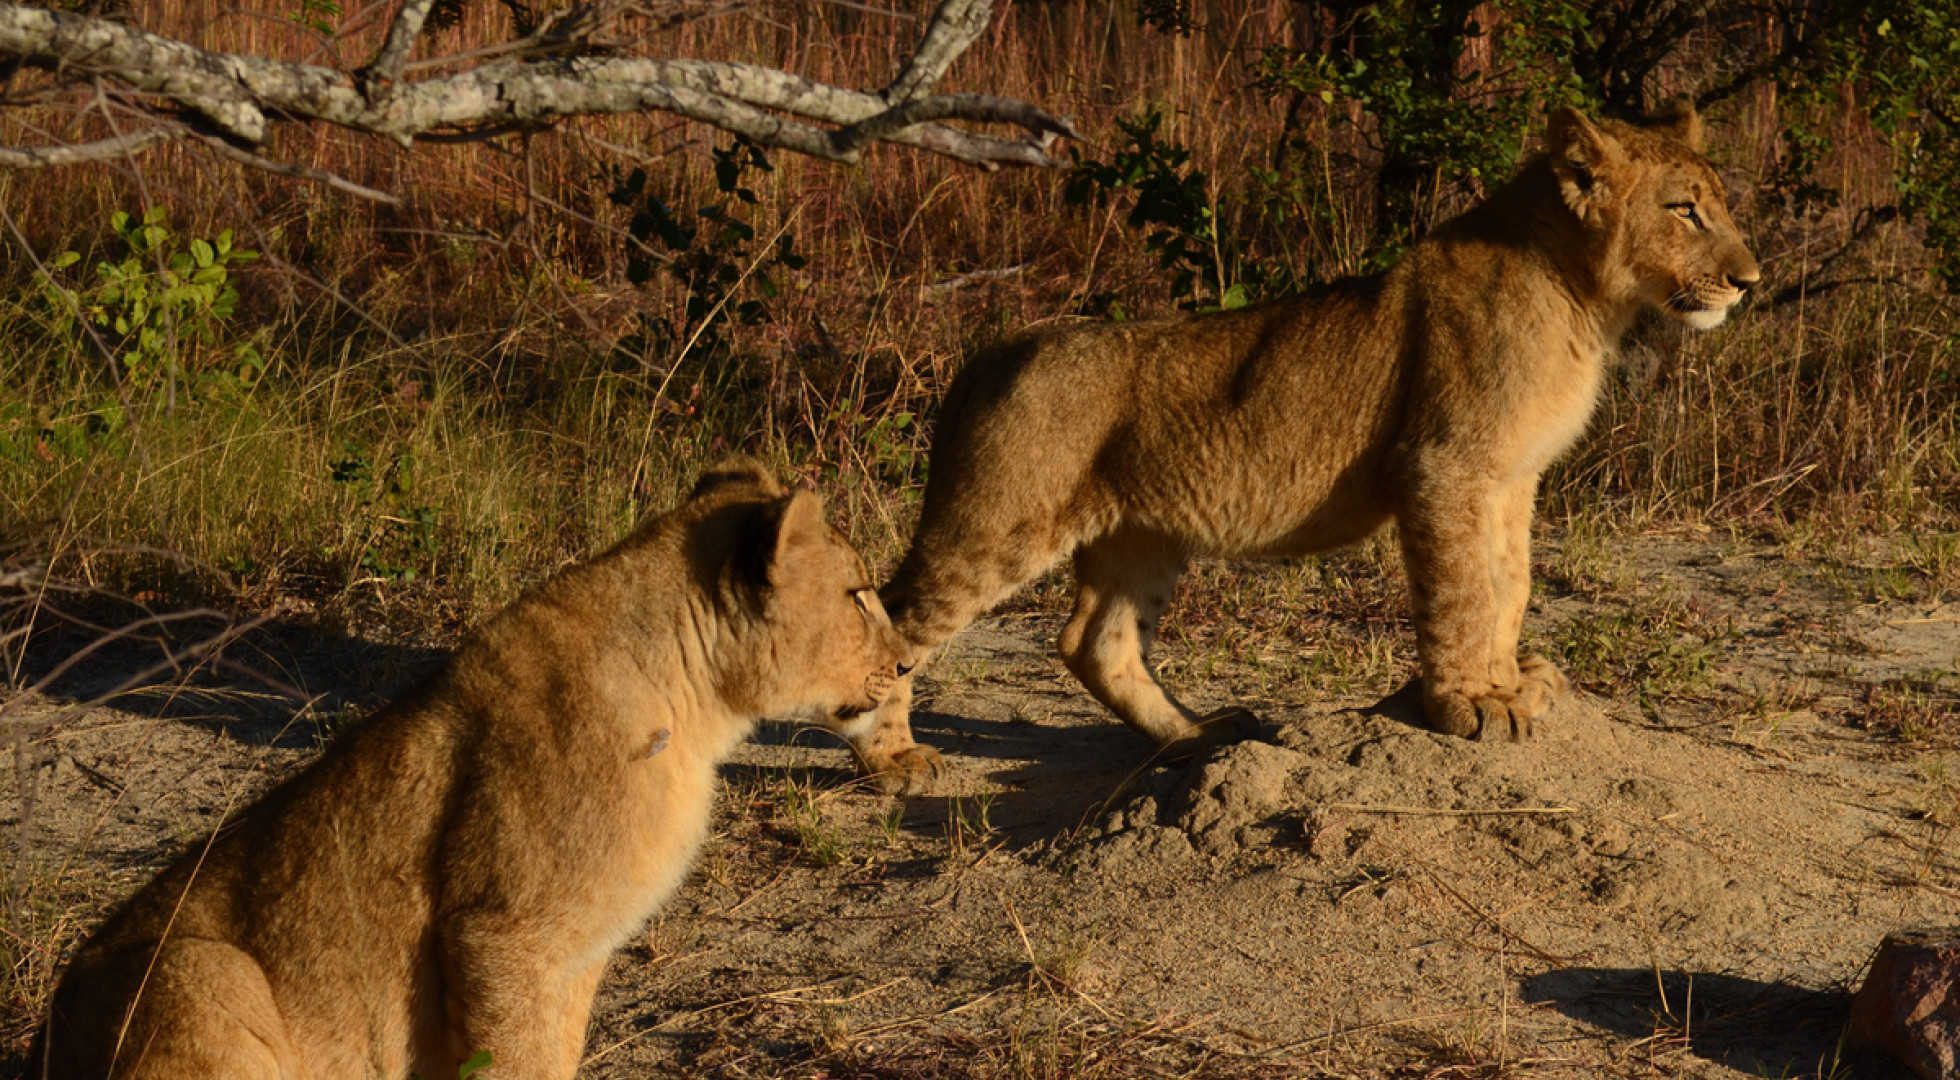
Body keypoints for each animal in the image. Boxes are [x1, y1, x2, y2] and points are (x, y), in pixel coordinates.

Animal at [32, 457, 907, 1080]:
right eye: (860, 594)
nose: (905, 664)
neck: (696, 704)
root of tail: (46, 1036)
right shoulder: (502, 932)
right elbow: (517, 1060)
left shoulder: (575, 954)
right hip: (200, 967)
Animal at [849, 104, 1760, 795]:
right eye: (1685, 209)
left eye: (1718, 204)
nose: (1750, 280)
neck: (1585, 299)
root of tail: (991, 352)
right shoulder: (1444, 466)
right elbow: (1465, 592)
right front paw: (1466, 704)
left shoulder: (1510, 478)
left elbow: (1511, 584)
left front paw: (1511, 685)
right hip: (997, 526)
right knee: (890, 620)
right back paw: (894, 762)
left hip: (1140, 535)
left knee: (1094, 642)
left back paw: (1200, 733)